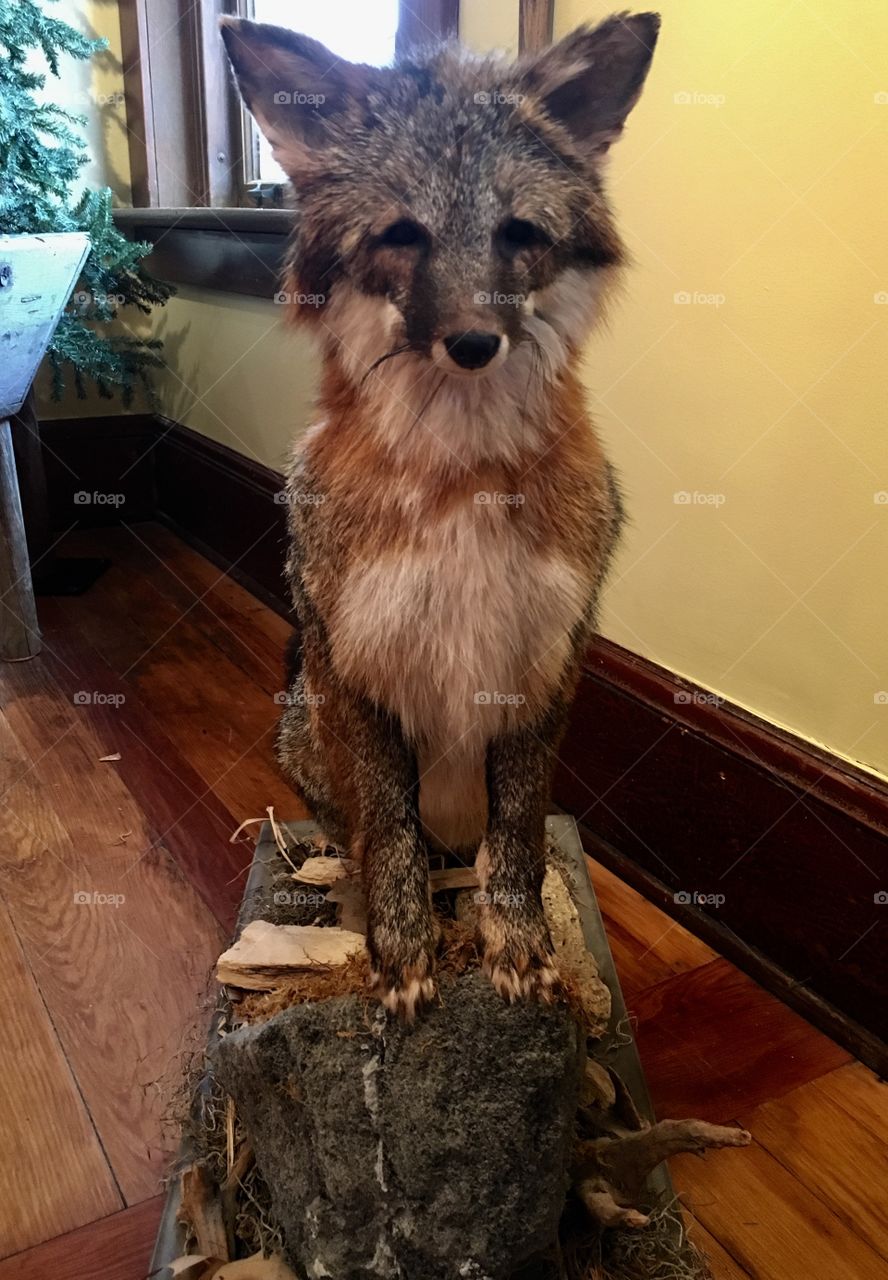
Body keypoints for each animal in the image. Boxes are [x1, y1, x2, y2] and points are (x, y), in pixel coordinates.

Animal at [221, 12, 659, 1018]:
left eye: (519, 233)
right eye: (402, 235)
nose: (473, 342)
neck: (462, 483)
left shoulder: (542, 665)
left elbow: (522, 836)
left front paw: (521, 946)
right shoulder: (357, 663)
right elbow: (389, 835)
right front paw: (400, 953)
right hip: (306, 727)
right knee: (361, 832)